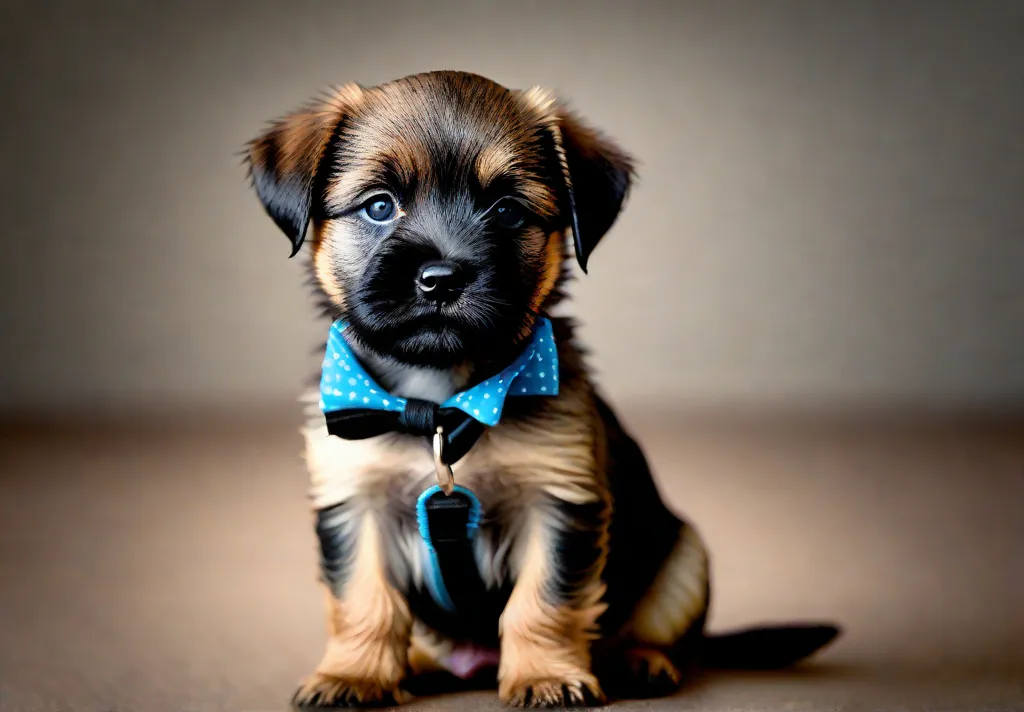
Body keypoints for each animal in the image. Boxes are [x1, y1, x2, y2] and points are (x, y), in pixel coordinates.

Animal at [241, 68, 839, 708]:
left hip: (686, 558)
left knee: (666, 633)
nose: (441, 279)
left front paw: (545, 675)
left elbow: (544, 601)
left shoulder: (558, 501)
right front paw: (354, 674)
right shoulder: (354, 501)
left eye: (507, 210)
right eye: (379, 205)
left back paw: (640, 661)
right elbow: (363, 600)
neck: (442, 403)